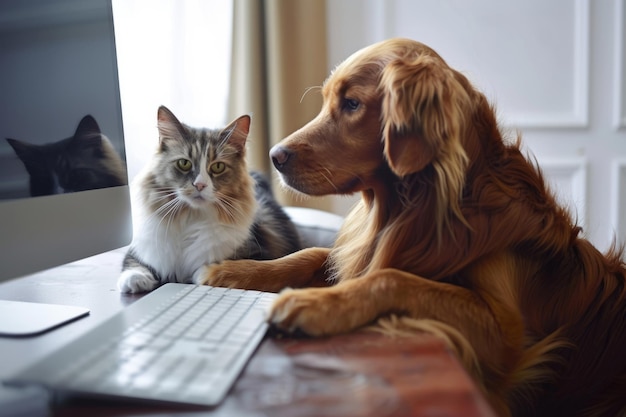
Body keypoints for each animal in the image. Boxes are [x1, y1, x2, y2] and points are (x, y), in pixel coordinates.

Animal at [117, 105, 302, 292]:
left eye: (218, 167)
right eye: (184, 163)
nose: (200, 185)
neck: (191, 218)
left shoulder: (258, 252)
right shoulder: (142, 248)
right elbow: (133, 262)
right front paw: (136, 280)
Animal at [197, 39, 624, 416]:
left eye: (351, 103)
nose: (274, 156)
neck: (418, 209)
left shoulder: (506, 332)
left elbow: (390, 276)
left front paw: (313, 304)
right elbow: (312, 253)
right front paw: (234, 270)